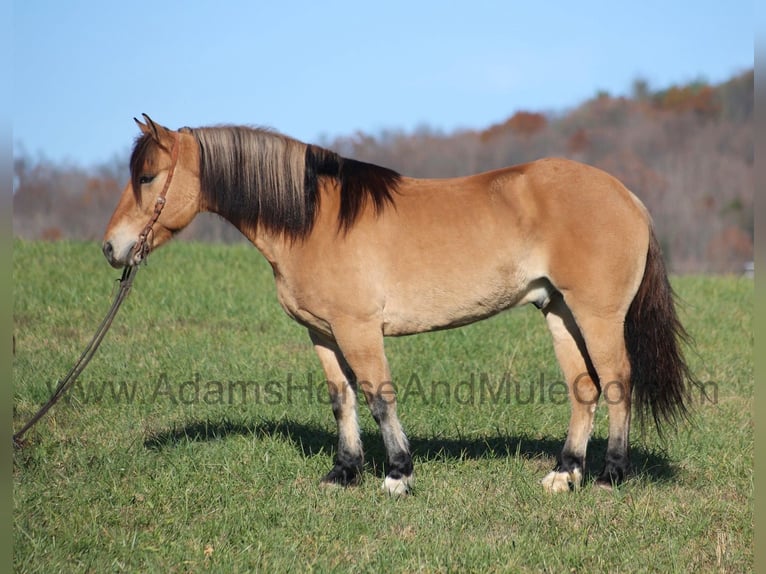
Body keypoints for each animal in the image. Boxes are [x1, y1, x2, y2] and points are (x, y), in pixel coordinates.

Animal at [102, 115, 696, 498]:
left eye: (147, 177)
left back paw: (609, 476)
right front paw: (344, 473)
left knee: (617, 381)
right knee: (584, 388)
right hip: (559, 312)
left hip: (597, 315)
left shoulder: (359, 330)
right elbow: (342, 399)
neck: (315, 220)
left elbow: (378, 397)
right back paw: (564, 474)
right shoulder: (323, 334)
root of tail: (627, 196)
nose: (111, 248)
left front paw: (397, 475)